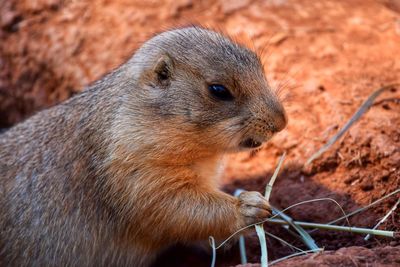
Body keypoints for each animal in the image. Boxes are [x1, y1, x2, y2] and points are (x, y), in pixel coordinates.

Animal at [0, 26, 288, 266]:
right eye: (218, 90)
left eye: (257, 62)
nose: (282, 121)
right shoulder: (135, 170)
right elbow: (173, 207)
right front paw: (251, 206)